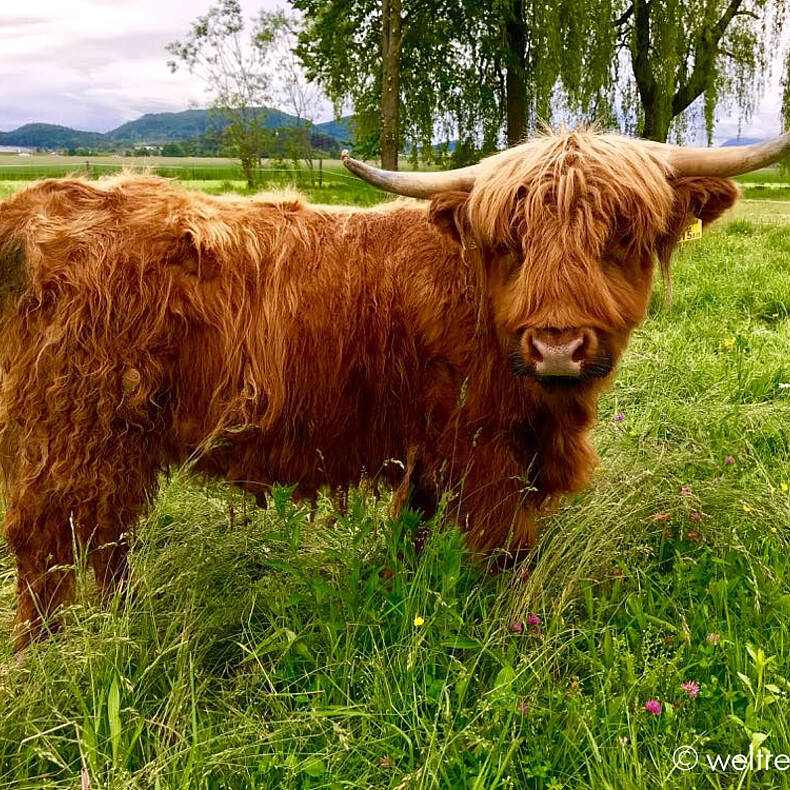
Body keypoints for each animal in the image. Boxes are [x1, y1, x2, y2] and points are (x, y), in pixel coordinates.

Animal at [1, 130, 790, 648]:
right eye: (510, 241)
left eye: (622, 235)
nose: (557, 345)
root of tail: (31, 211)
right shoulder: (485, 447)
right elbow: (507, 551)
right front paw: (511, 634)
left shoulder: (430, 444)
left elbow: (413, 524)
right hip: (72, 431)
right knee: (51, 547)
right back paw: (61, 656)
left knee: (102, 542)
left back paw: (118, 629)